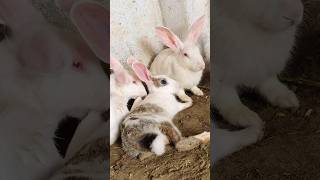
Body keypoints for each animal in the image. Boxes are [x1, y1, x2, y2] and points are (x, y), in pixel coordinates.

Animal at [211, 0, 304, 131]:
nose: (295, 15)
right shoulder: (220, 69)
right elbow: (226, 94)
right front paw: (244, 116)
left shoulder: (265, 66)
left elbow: (269, 81)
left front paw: (286, 97)